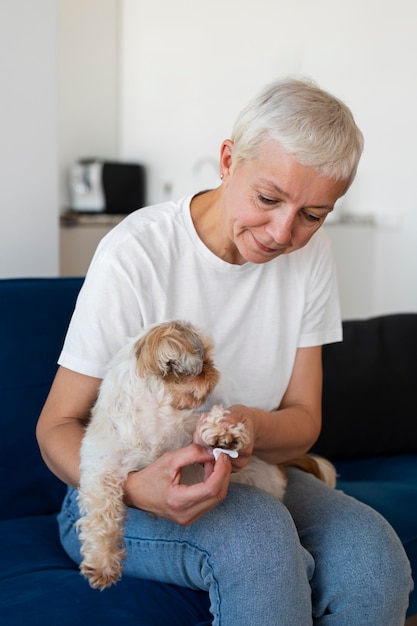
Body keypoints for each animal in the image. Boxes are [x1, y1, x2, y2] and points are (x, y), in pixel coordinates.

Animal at [78, 320, 336, 588]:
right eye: (205, 361)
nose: (214, 370)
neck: (152, 415)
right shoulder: (102, 468)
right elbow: (101, 516)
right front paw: (102, 562)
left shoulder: (186, 426)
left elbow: (208, 423)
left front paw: (223, 433)